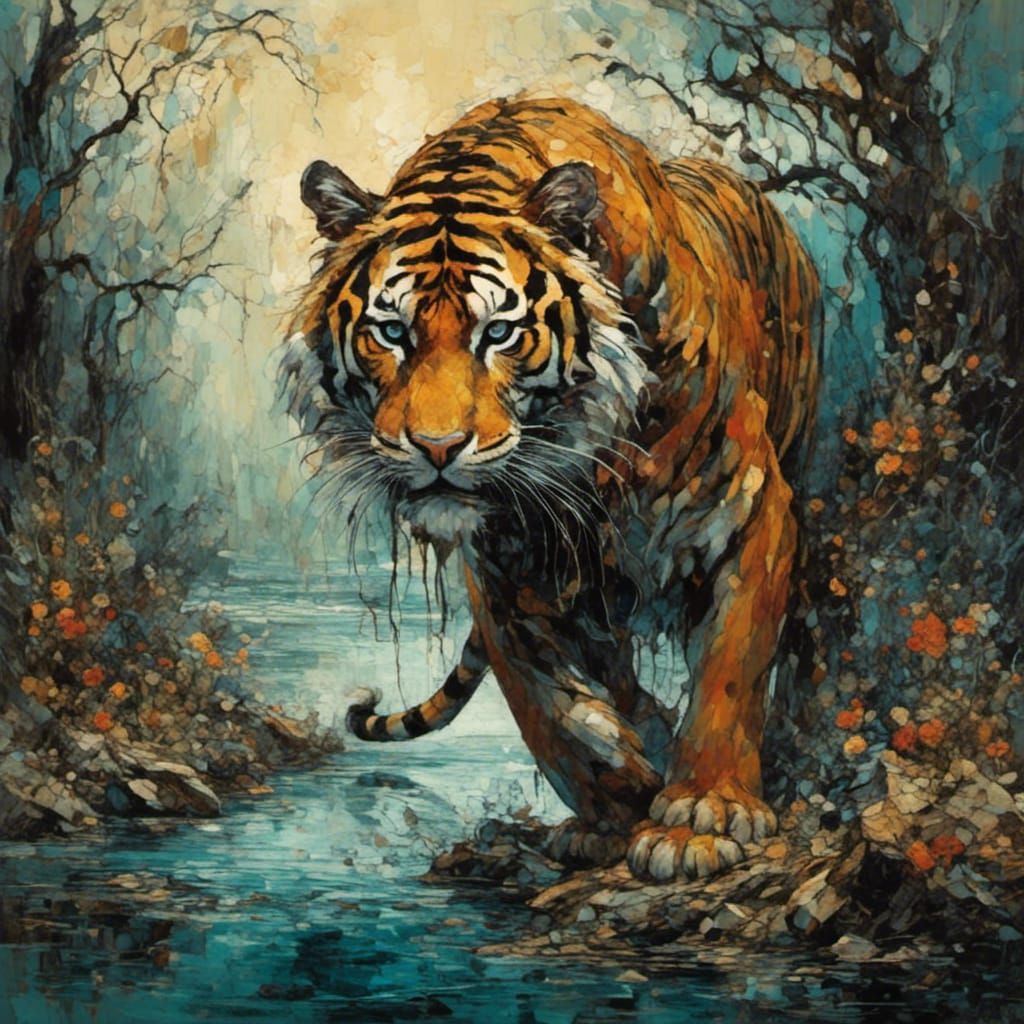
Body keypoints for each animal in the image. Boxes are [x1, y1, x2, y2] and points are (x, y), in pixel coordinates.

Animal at [280, 96, 820, 881]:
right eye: (392, 332)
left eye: (499, 334)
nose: (437, 447)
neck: (584, 463)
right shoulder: (506, 571)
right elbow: (554, 712)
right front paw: (614, 814)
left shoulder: (748, 509)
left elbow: (731, 669)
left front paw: (702, 816)